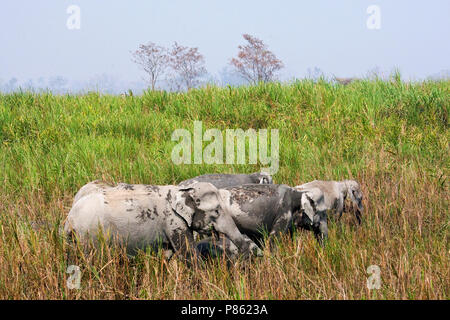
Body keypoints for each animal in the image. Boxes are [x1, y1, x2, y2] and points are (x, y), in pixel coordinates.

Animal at [63, 180, 260, 260]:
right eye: (217, 211)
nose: (252, 252)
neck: (182, 190)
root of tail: (70, 219)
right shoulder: (174, 222)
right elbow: (188, 254)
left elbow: (167, 255)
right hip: (91, 235)